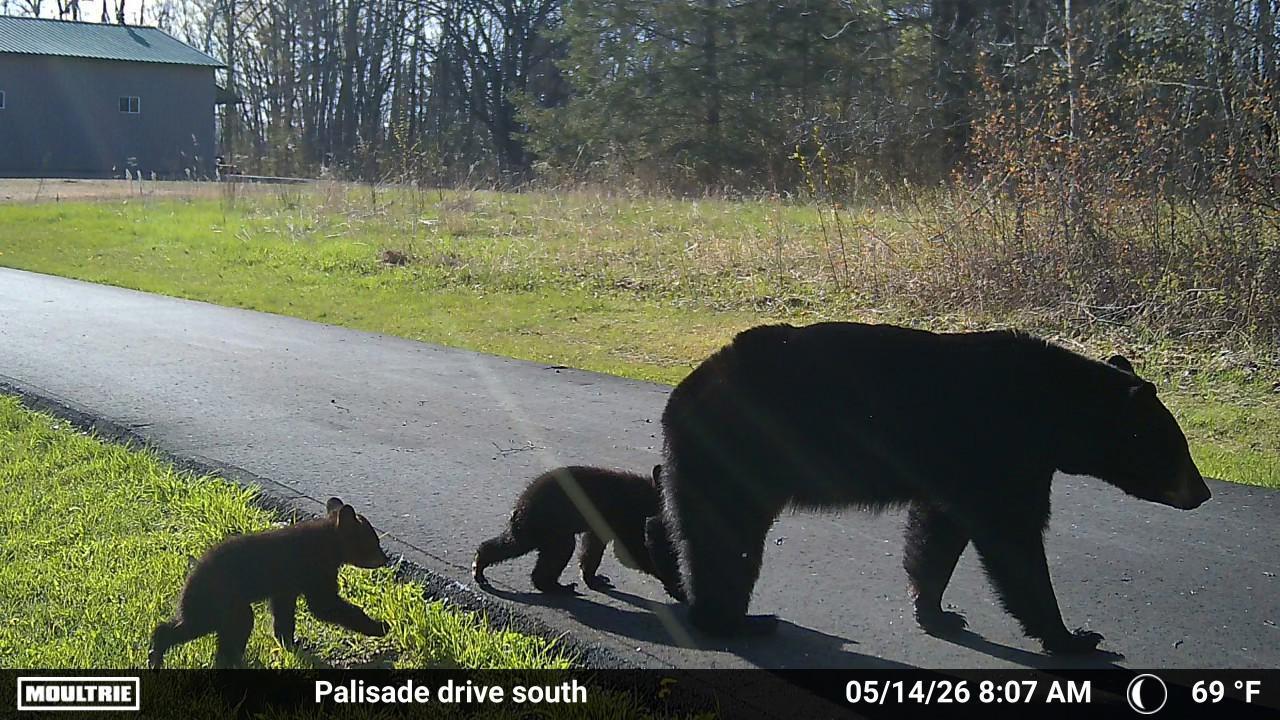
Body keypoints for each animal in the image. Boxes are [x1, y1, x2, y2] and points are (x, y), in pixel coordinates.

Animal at [150, 497, 390, 668]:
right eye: (374, 541)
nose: (385, 559)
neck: (330, 544)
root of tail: (191, 577)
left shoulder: (287, 586)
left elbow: (284, 612)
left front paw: (289, 641)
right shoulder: (314, 570)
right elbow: (324, 605)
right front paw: (380, 626)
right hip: (218, 599)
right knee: (217, 624)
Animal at [474, 465, 684, 600]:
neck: (647, 495)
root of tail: (519, 506)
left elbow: (593, 546)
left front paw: (594, 578)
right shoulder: (626, 515)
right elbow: (630, 552)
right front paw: (675, 586)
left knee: (513, 543)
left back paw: (480, 563)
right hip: (548, 524)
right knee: (558, 550)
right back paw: (556, 586)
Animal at [656, 321, 1211, 652]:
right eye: (1179, 448)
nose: (1203, 493)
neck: (1050, 410)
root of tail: (680, 398)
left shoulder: (960, 474)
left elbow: (938, 532)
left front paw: (937, 611)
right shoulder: (1002, 454)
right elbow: (1015, 541)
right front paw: (1072, 636)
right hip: (736, 455)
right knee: (726, 544)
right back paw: (734, 620)